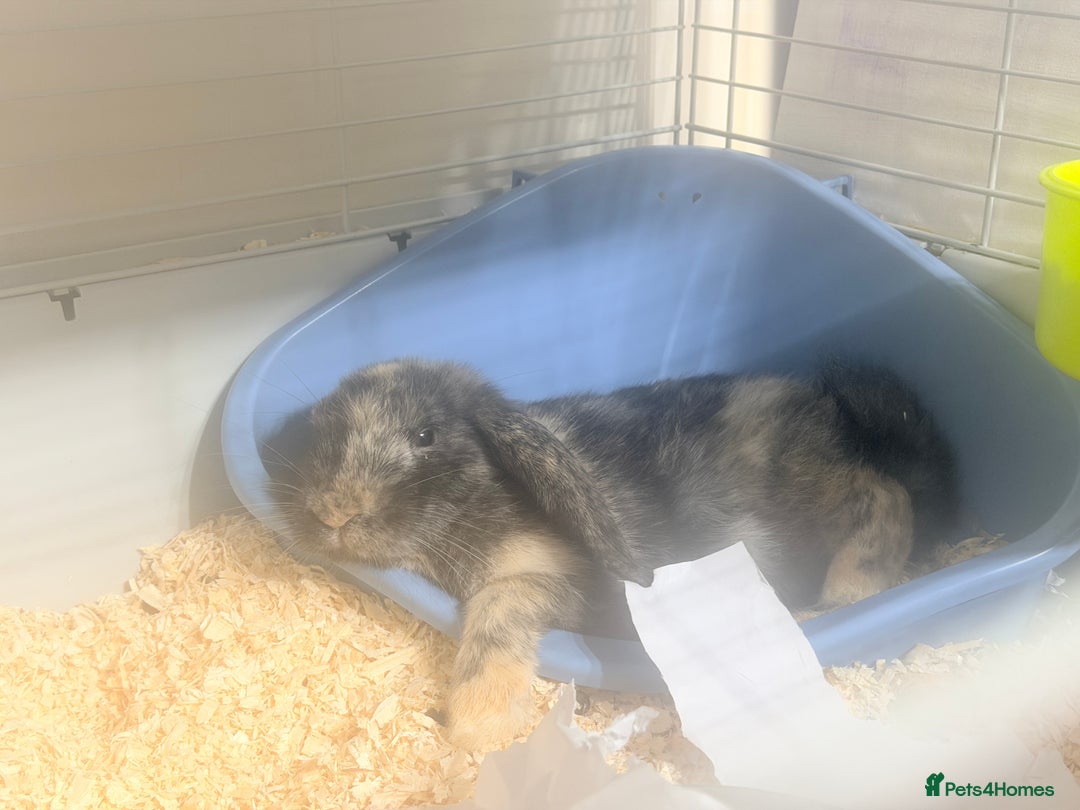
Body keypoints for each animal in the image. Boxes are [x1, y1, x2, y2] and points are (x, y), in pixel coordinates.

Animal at [284, 357, 959, 750]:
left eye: (426, 435)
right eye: (322, 432)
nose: (334, 514)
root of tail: (838, 417)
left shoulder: (557, 580)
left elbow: (499, 608)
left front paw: (479, 722)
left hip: (807, 488)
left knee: (885, 492)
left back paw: (847, 591)